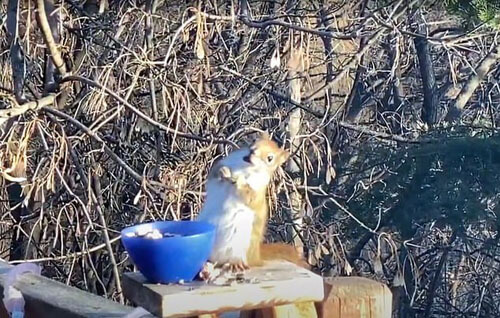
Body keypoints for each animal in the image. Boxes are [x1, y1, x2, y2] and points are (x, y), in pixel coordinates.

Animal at [195, 132, 304, 270]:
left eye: (270, 158)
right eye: (254, 142)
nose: (252, 153)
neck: (245, 167)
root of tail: (256, 257)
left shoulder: (257, 190)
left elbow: (249, 196)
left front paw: (239, 180)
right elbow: (214, 175)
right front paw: (223, 171)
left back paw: (234, 263)